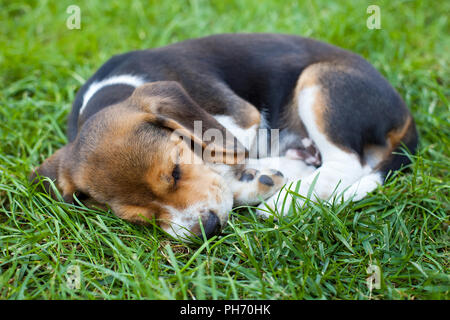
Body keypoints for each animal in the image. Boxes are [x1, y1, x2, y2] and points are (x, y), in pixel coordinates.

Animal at [31, 33, 418, 241]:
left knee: (347, 163)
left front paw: (251, 182)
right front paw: (255, 179)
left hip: (318, 81)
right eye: (139, 219)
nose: (206, 229)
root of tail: (405, 115)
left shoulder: (240, 118)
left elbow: (221, 159)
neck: (115, 91)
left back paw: (286, 199)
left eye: (175, 171)